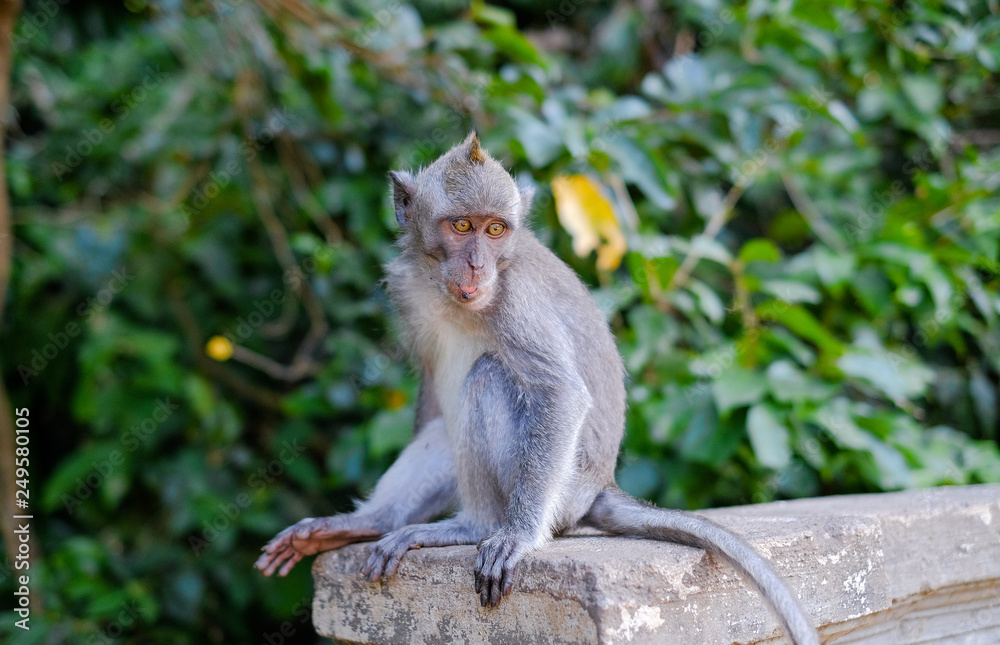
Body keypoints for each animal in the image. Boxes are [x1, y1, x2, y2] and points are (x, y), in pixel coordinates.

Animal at [255, 133, 820, 645]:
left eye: (495, 229)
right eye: (462, 226)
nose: (478, 265)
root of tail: (600, 486)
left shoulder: (515, 297)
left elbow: (560, 394)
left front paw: (519, 537)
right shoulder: (408, 291)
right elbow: (434, 405)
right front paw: (373, 518)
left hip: (559, 492)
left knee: (488, 377)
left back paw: (474, 527)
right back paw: (375, 521)